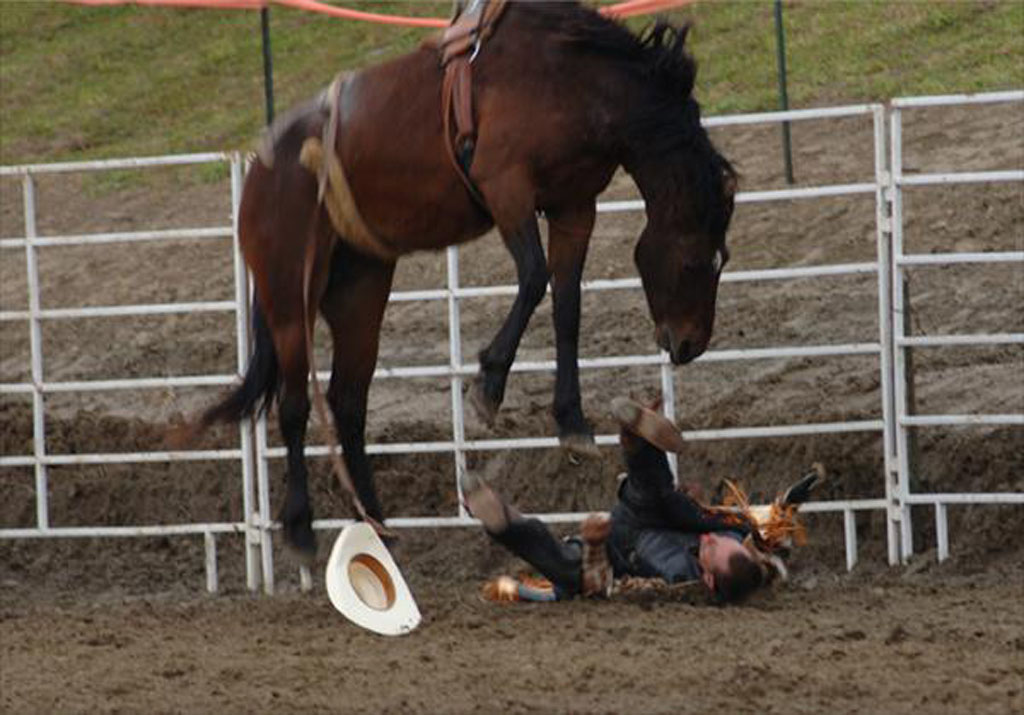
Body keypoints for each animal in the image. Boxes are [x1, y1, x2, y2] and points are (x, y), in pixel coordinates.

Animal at [192, 1, 737, 557]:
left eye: (724, 258)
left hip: (360, 287)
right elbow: (534, 277)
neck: (574, 82)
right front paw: (488, 385)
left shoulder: (574, 206)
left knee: (349, 402)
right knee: (294, 404)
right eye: (694, 261)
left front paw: (572, 423)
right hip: (288, 291)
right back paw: (301, 527)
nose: (689, 343)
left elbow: (567, 305)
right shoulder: (505, 185)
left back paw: (378, 524)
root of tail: (261, 168)